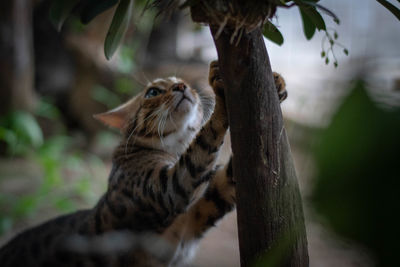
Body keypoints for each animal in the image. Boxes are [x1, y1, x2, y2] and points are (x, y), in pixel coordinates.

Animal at [0, 61, 288, 266]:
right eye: (153, 92)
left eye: (183, 83)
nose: (182, 87)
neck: (174, 149)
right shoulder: (169, 188)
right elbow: (205, 139)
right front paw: (220, 95)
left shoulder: (199, 211)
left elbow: (231, 174)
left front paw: (274, 82)